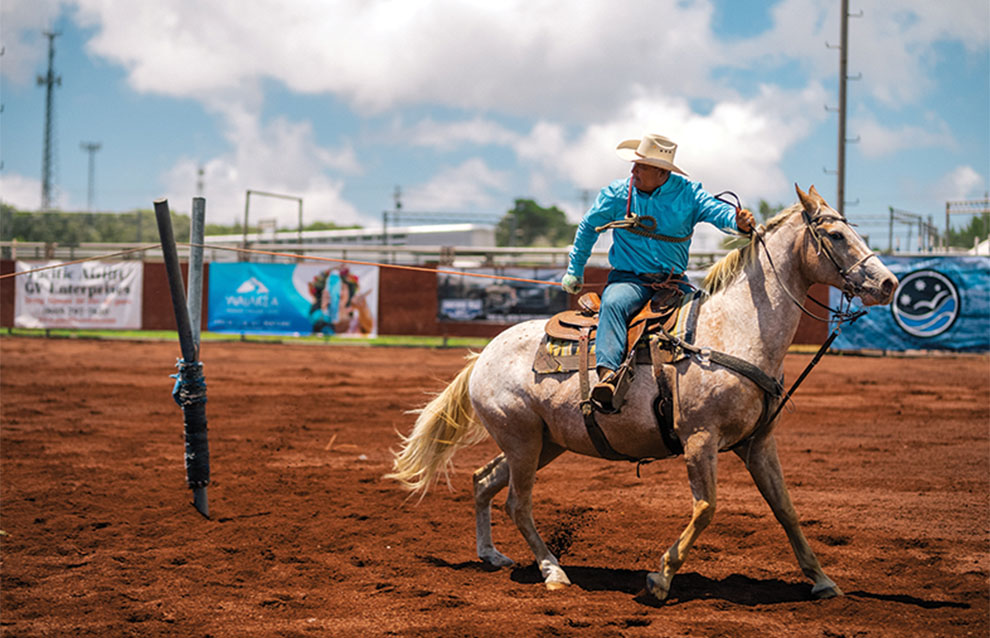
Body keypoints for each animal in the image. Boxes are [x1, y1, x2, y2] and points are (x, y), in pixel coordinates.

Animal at [386, 184, 898, 601]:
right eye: (836, 236)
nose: (889, 282)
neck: (732, 330)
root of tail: (483, 355)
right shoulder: (699, 439)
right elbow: (706, 508)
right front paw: (660, 578)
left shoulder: (758, 443)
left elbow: (787, 510)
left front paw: (822, 580)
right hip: (523, 439)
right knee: (517, 503)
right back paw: (553, 571)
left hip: (542, 443)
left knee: (484, 480)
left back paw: (491, 555)